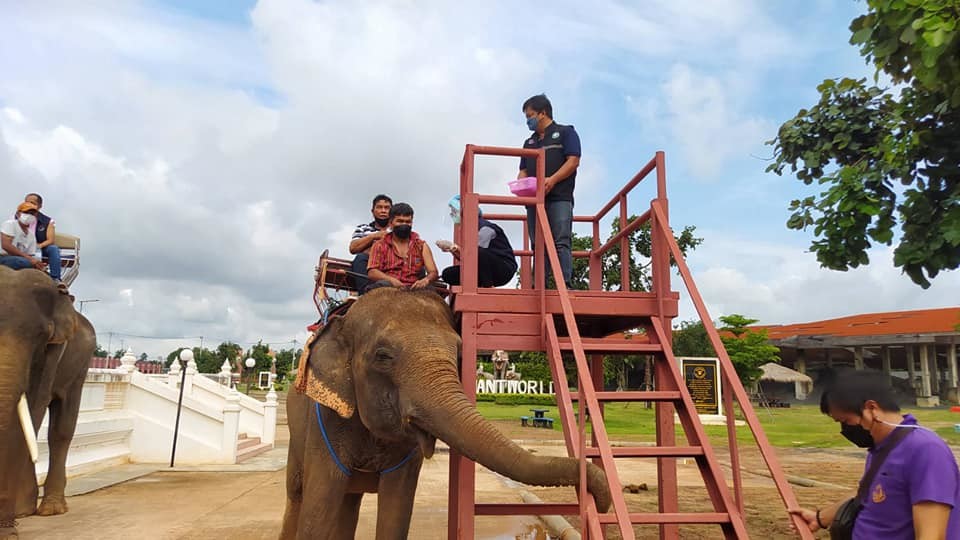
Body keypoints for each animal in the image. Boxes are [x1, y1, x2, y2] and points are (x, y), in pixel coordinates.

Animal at [0, 268, 95, 536]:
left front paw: (9, 526)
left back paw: (48, 508)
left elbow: (32, 406)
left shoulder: (54, 349)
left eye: (41, 336)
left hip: (80, 368)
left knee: (61, 430)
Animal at [280, 288, 608, 536]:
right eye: (382, 356)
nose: (603, 503)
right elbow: (319, 507)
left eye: (460, 353)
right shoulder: (325, 420)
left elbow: (396, 510)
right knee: (297, 495)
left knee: (350, 500)